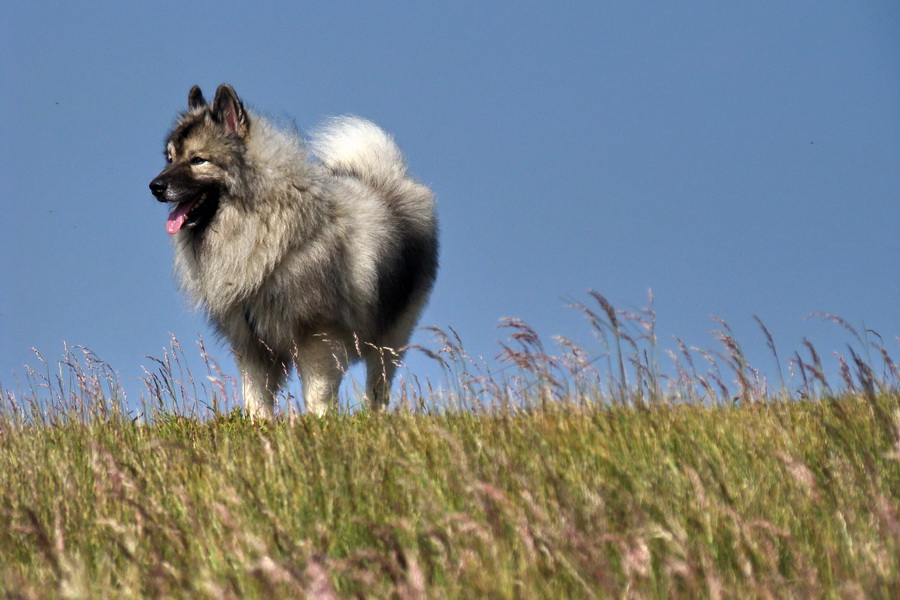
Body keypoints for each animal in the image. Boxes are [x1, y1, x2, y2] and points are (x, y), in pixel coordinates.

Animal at [149, 84, 438, 418]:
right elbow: (256, 398)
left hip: (392, 334)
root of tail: (387, 176)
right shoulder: (252, 345)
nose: (155, 186)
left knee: (378, 384)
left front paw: (317, 423)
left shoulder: (319, 338)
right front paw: (259, 426)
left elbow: (318, 394)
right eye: (170, 158)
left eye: (198, 160)